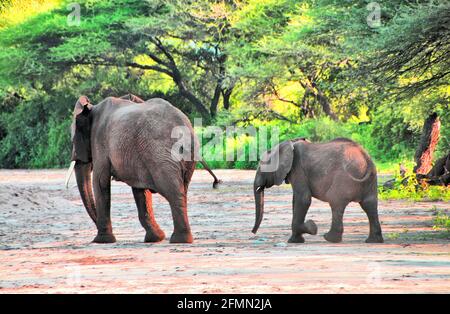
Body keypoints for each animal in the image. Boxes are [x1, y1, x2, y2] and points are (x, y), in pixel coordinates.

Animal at [66, 94, 220, 244]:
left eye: (73, 139)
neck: (92, 108)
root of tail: (184, 129)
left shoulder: (99, 141)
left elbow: (100, 181)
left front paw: (102, 241)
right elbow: (140, 190)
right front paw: (156, 238)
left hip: (160, 154)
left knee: (173, 191)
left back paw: (179, 240)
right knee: (182, 189)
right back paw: (182, 239)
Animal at [253, 139, 384, 244]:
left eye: (260, 168)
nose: (253, 232)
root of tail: (366, 158)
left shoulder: (298, 169)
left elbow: (303, 199)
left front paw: (312, 228)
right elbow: (296, 201)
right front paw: (296, 240)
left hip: (343, 178)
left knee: (336, 202)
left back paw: (329, 238)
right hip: (371, 179)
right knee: (370, 205)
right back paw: (373, 241)